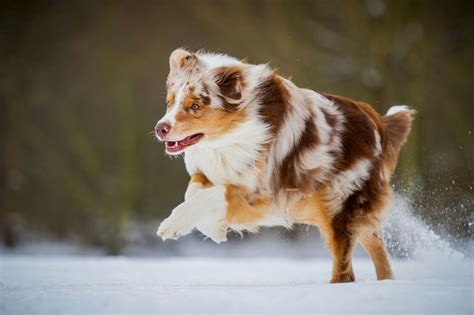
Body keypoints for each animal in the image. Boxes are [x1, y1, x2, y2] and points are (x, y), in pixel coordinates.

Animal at [155, 48, 414, 284]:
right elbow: (193, 191)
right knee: (379, 254)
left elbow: (213, 194)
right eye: (169, 103)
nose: (160, 128)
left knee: (345, 271)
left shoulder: (259, 192)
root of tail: (376, 120)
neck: (227, 138)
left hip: (339, 204)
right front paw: (213, 228)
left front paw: (172, 225)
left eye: (195, 106)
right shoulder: (210, 170)